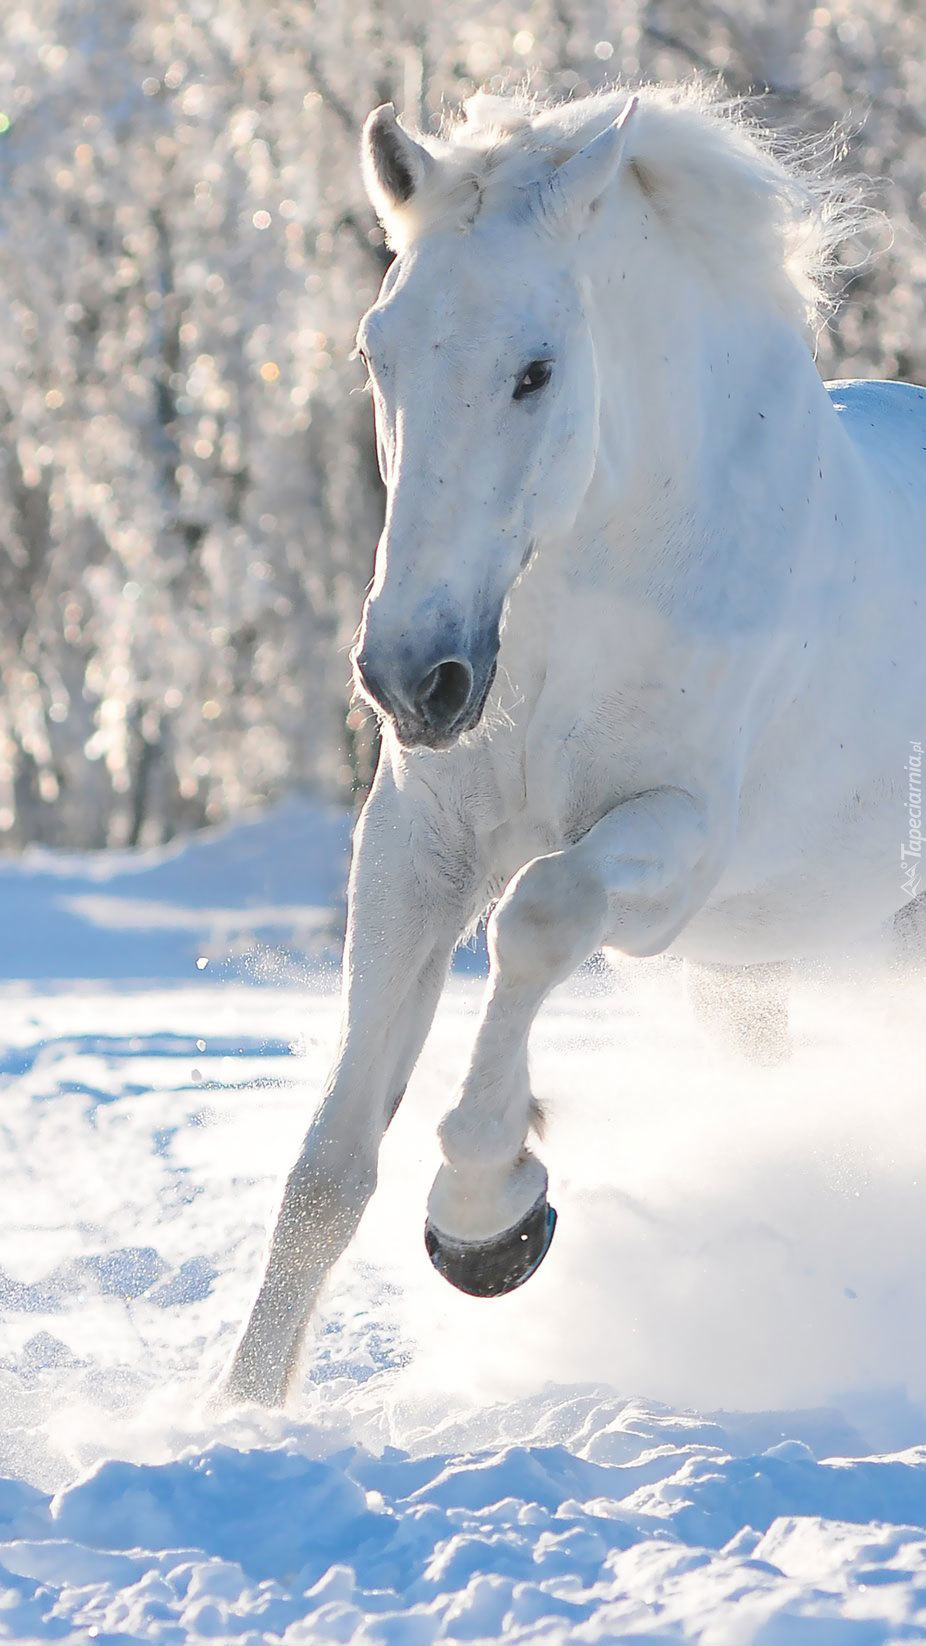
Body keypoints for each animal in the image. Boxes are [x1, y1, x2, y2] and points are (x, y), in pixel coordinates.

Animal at [222, 83, 926, 1408]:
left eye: (535, 369)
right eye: (375, 352)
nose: (412, 675)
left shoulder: (678, 844)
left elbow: (538, 915)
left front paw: (486, 1215)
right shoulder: (418, 846)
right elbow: (328, 1170)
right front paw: (231, 1416)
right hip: (755, 974)